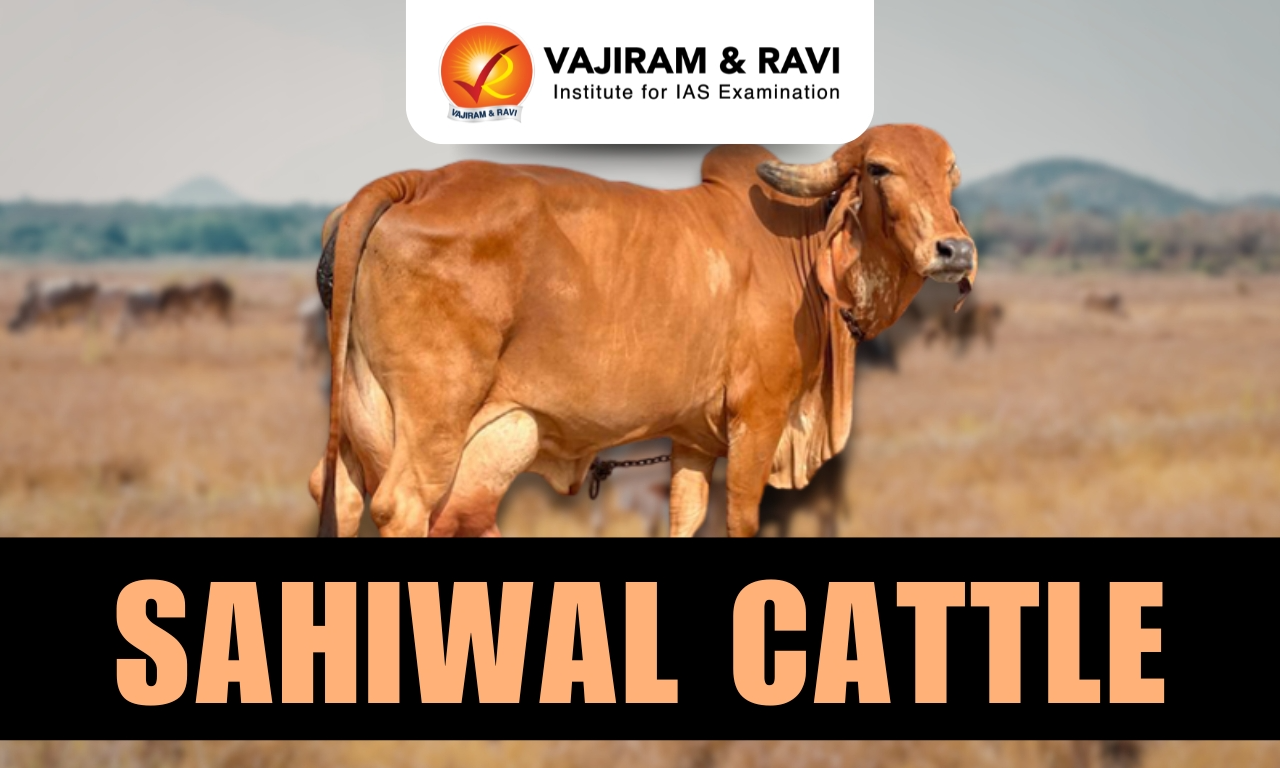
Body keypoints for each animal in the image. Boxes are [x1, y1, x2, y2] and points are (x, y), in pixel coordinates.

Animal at [307, 124, 978, 538]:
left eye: (951, 173)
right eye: (879, 168)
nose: (956, 250)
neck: (799, 245)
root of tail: (414, 182)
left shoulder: (694, 439)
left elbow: (687, 516)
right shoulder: (757, 419)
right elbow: (739, 518)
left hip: (392, 424)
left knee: (338, 492)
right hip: (435, 421)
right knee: (401, 506)